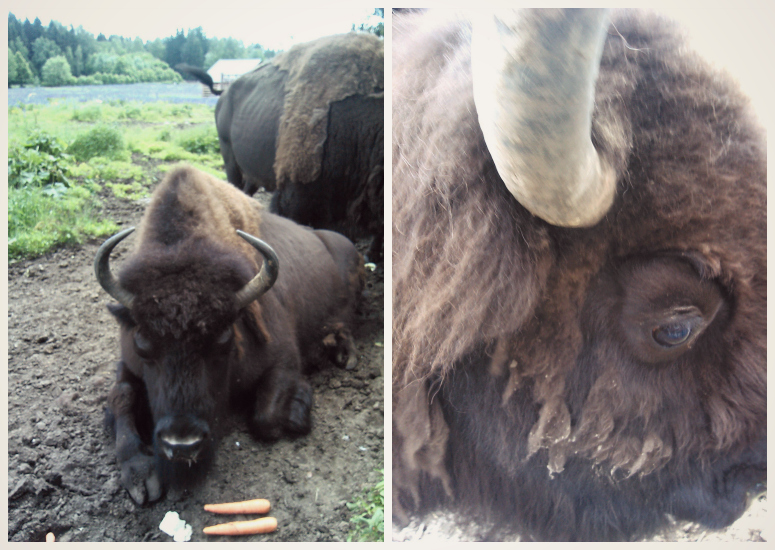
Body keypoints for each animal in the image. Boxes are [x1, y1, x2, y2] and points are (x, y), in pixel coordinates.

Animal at [94, 166, 366, 506]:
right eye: (142, 343)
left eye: (224, 339)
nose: (182, 444)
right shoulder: (128, 363)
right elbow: (121, 396)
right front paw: (140, 475)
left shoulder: (284, 360)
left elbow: (266, 419)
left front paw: (299, 409)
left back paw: (342, 353)